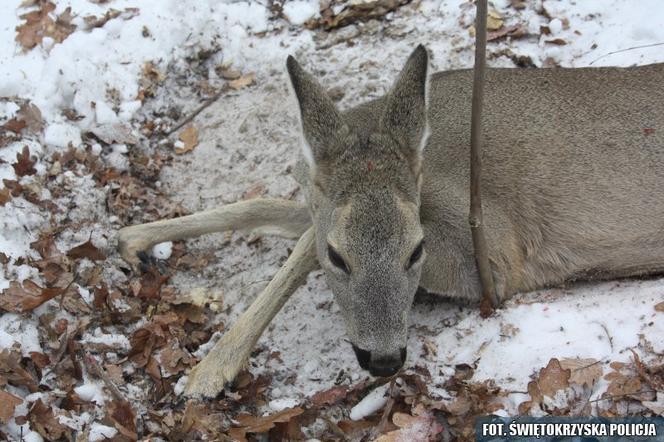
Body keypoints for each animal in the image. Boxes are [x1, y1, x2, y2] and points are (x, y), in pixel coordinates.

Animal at [118, 44, 664, 398]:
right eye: (340, 256)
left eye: (416, 250)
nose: (383, 360)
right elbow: (274, 212)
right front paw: (133, 237)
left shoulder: (496, 258)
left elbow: (302, 245)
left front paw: (210, 370)